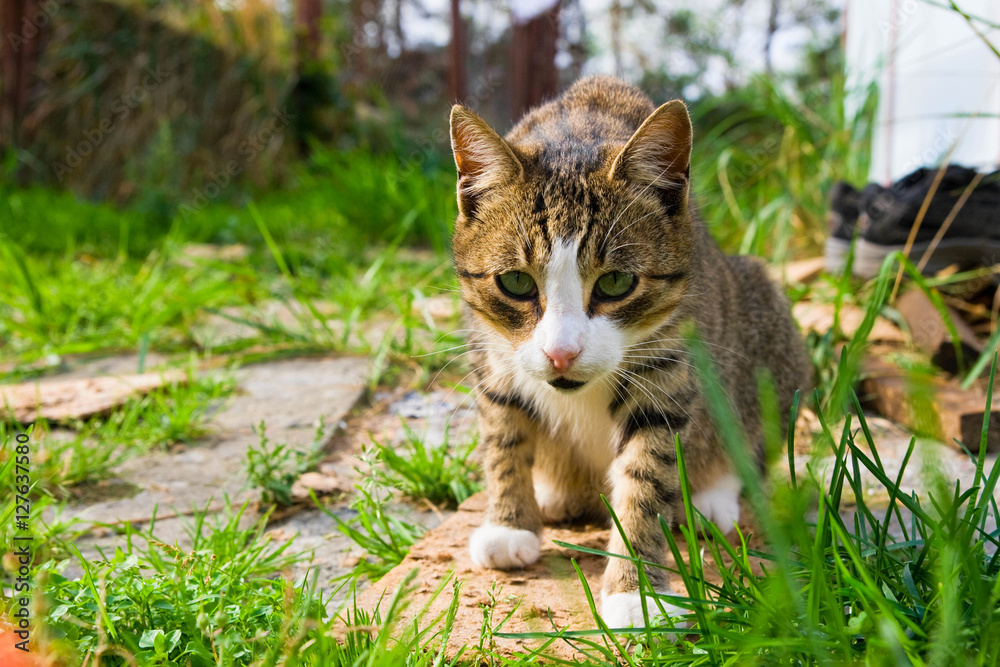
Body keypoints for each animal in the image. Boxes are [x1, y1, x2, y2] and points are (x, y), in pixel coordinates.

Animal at [450, 75, 808, 628]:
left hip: (768, 320)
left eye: (617, 282)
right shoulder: (493, 355)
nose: (561, 354)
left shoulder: (668, 369)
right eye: (515, 282)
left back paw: (711, 495)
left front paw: (634, 590)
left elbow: (646, 477)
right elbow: (503, 437)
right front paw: (510, 523)